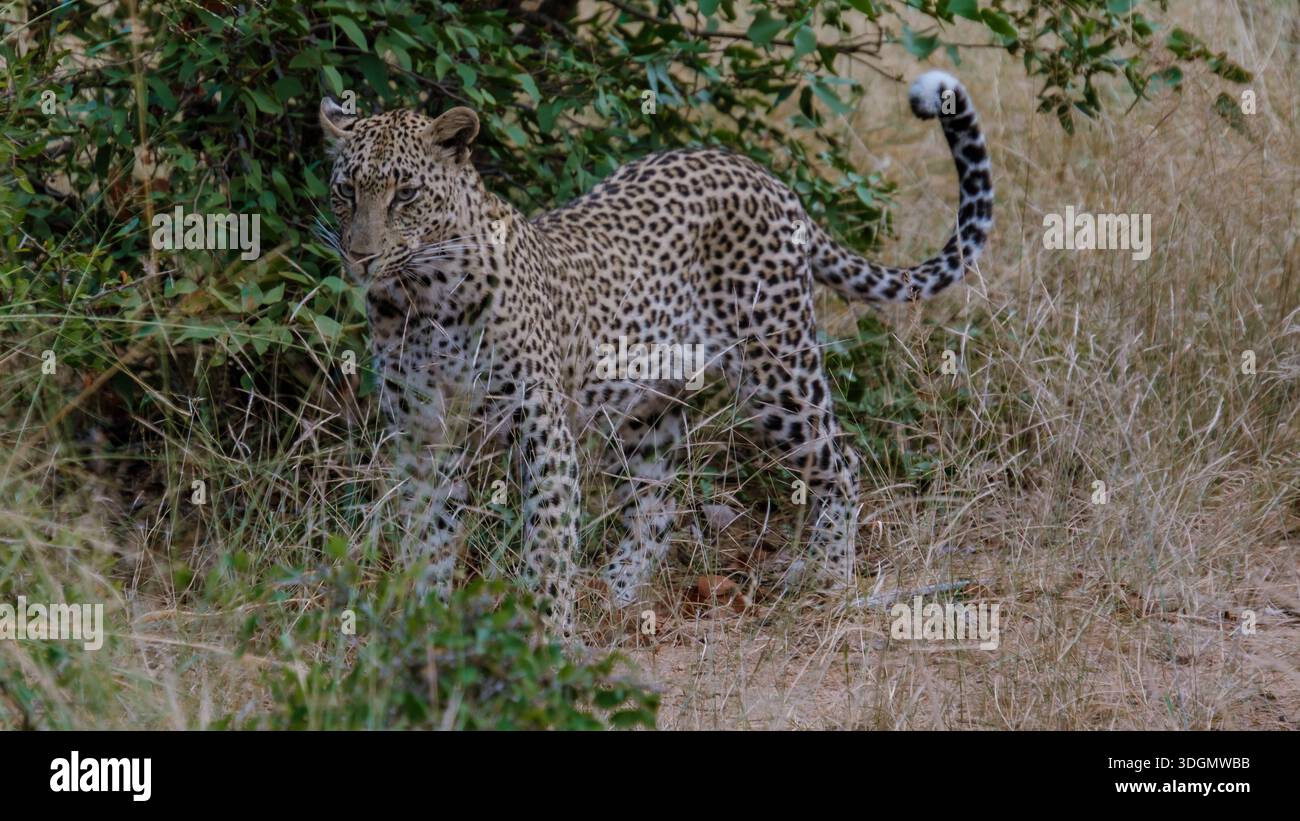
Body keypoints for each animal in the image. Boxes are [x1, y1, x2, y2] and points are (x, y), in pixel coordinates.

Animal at [319, 70, 993, 641]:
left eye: (406, 193)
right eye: (345, 191)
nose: (361, 256)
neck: (421, 298)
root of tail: (761, 174)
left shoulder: (542, 429)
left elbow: (547, 541)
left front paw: (549, 636)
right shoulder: (422, 436)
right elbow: (426, 540)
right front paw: (423, 625)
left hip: (776, 370)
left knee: (840, 461)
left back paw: (828, 577)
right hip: (650, 403)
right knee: (658, 505)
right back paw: (614, 592)